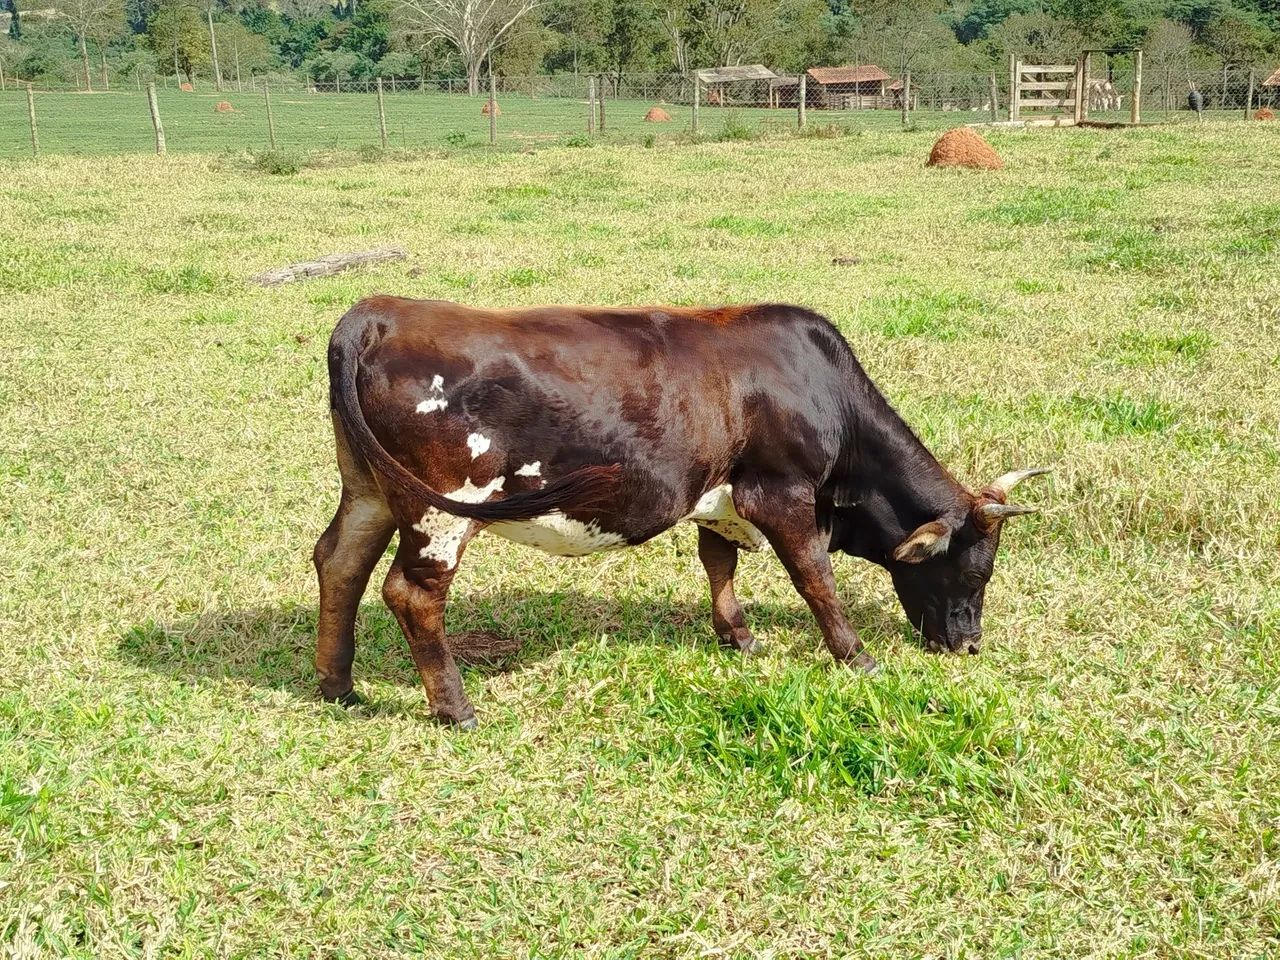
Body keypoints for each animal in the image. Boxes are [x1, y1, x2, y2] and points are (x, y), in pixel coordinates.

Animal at [313, 297, 1047, 728]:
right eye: (976, 573)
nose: (969, 644)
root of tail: (377, 314)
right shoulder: (782, 493)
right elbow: (814, 578)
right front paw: (856, 655)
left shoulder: (717, 497)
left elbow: (718, 561)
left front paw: (737, 635)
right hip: (442, 506)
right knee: (411, 593)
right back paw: (456, 708)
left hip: (371, 489)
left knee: (339, 562)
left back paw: (336, 684)